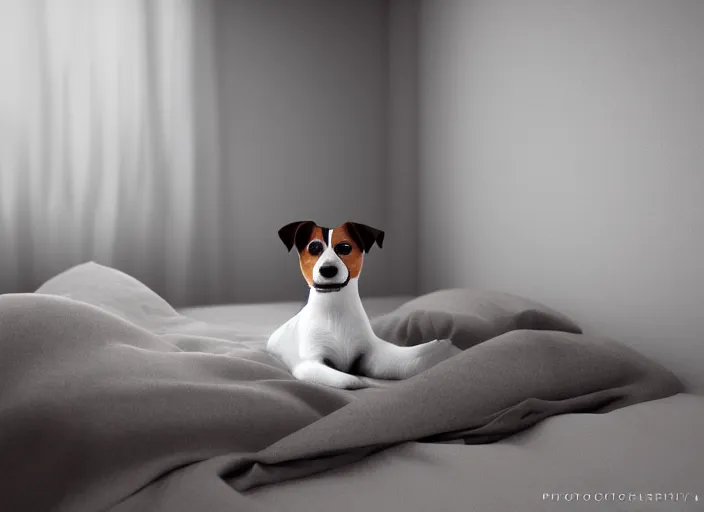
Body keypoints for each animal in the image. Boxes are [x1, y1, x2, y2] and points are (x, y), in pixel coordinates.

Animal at [266, 218, 456, 390]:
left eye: (344, 248)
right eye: (314, 248)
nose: (328, 270)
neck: (335, 309)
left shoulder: (372, 353)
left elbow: (411, 359)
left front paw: (442, 348)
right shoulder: (310, 364)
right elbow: (350, 380)